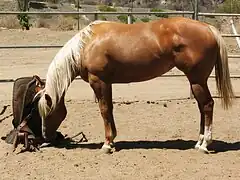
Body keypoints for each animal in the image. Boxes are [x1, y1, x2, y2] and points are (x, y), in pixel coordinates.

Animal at [36, 16, 234, 153]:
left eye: (48, 112)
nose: (46, 137)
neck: (86, 45)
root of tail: (208, 28)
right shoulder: (107, 83)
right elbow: (109, 109)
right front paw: (112, 141)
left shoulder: (99, 81)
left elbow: (104, 110)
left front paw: (107, 145)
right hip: (196, 81)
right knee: (202, 107)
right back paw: (199, 142)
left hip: (197, 80)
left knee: (207, 105)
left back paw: (205, 144)